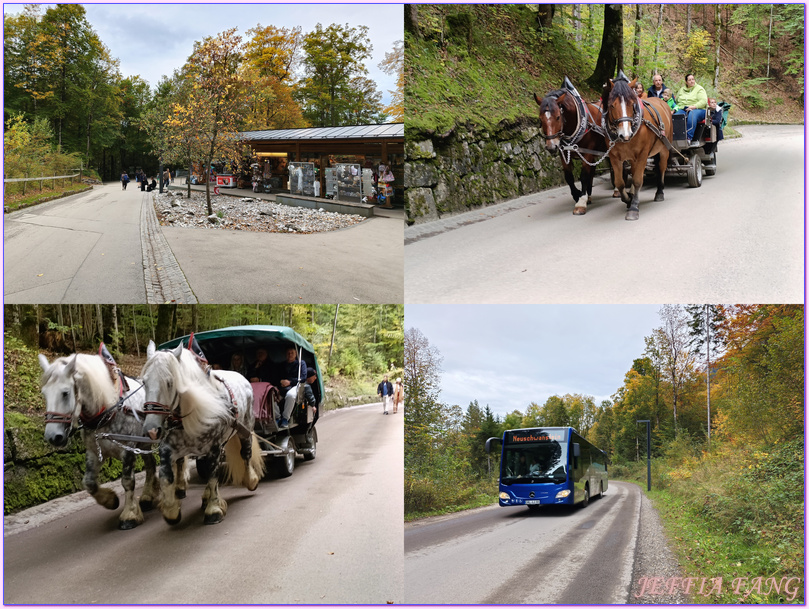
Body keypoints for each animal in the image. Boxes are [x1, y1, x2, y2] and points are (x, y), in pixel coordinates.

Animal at [38, 352, 162, 528]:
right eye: (44, 393)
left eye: (65, 393)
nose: (52, 436)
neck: (109, 409)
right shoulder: (93, 451)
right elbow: (89, 482)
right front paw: (110, 500)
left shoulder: (128, 449)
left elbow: (127, 481)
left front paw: (129, 514)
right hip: (144, 443)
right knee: (151, 464)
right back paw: (147, 497)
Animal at [140, 340, 264, 524]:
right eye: (144, 382)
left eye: (170, 382)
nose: (152, 430)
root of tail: (243, 378)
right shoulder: (170, 447)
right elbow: (166, 475)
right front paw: (171, 510)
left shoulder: (214, 446)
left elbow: (213, 475)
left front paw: (213, 509)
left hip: (244, 430)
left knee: (245, 454)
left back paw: (250, 480)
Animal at [532, 86, 608, 215]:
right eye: (540, 119)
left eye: (558, 117)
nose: (551, 147)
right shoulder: (563, 152)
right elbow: (569, 177)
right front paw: (577, 195)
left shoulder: (587, 152)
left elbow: (584, 176)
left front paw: (581, 202)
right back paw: (589, 196)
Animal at [604, 73, 672, 221]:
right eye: (612, 105)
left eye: (631, 104)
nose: (625, 134)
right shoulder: (614, 157)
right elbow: (620, 182)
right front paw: (629, 199)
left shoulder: (642, 155)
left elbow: (637, 180)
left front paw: (634, 207)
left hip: (664, 148)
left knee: (661, 168)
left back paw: (659, 192)